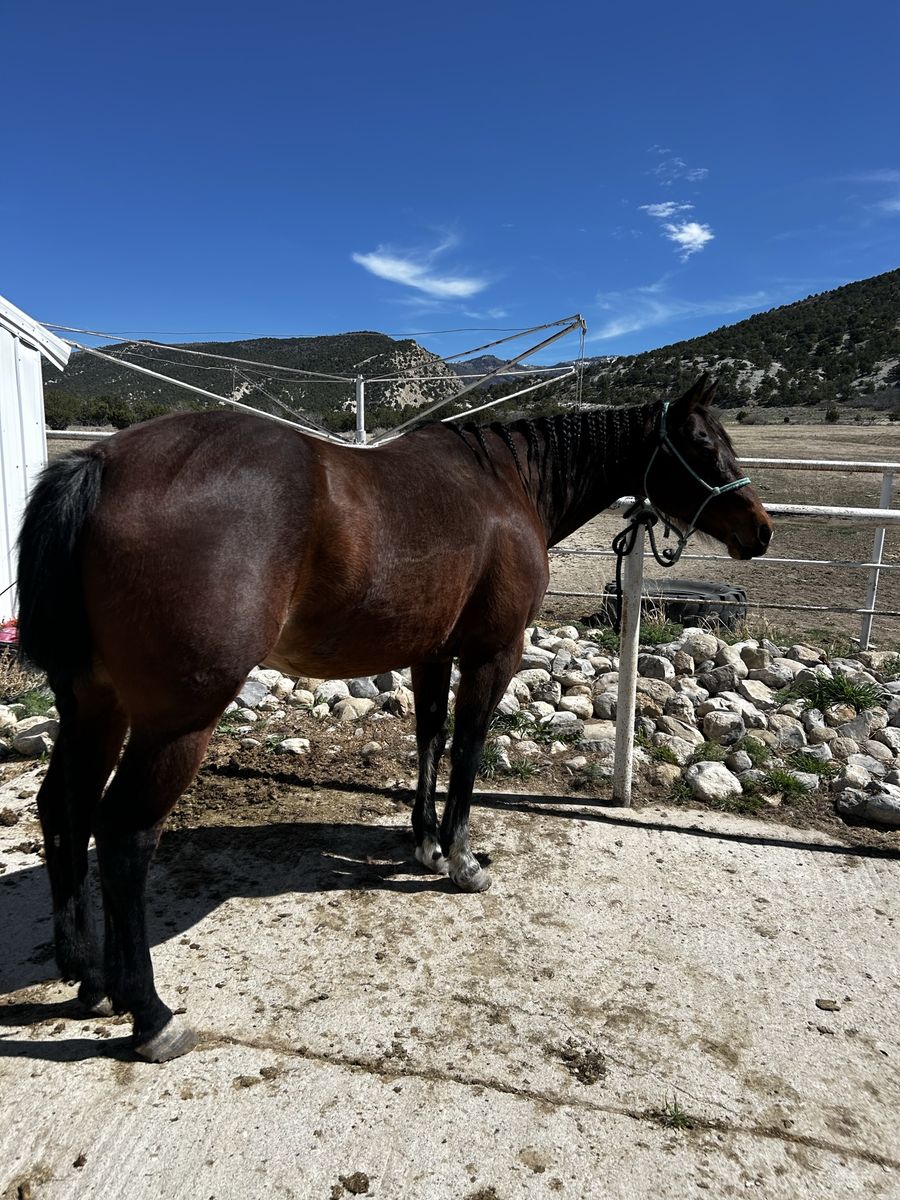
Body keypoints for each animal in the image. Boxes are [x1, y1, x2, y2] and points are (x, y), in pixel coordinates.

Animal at [16, 375, 772, 1062]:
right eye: (703, 444)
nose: (760, 530)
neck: (504, 486)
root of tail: (102, 464)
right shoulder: (493, 653)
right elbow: (466, 748)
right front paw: (462, 860)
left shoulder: (431, 653)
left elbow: (429, 738)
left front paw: (426, 842)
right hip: (176, 723)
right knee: (123, 836)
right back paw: (148, 1014)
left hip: (96, 706)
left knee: (63, 807)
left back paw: (89, 979)